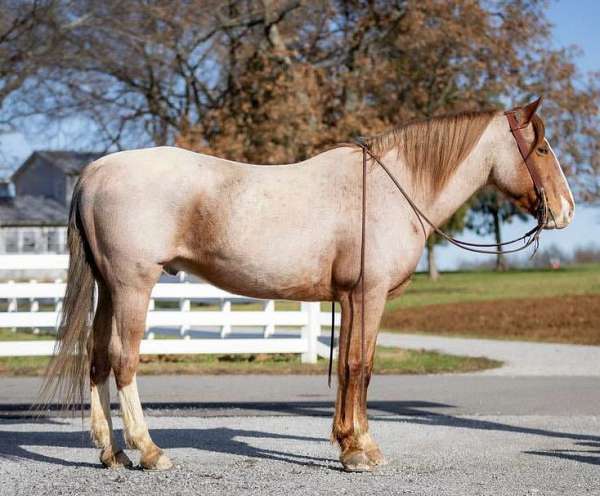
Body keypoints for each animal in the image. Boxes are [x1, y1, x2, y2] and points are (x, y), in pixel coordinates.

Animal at [39, 97, 576, 472]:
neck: (391, 188)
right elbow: (360, 367)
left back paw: (112, 454)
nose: (566, 210)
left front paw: (349, 443)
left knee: (97, 361)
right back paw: (149, 452)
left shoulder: (351, 299)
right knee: (124, 362)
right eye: (542, 147)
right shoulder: (369, 296)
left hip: (109, 289)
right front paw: (362, 452)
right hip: (133, 287)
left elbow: (351, 368)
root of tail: (95, 170)